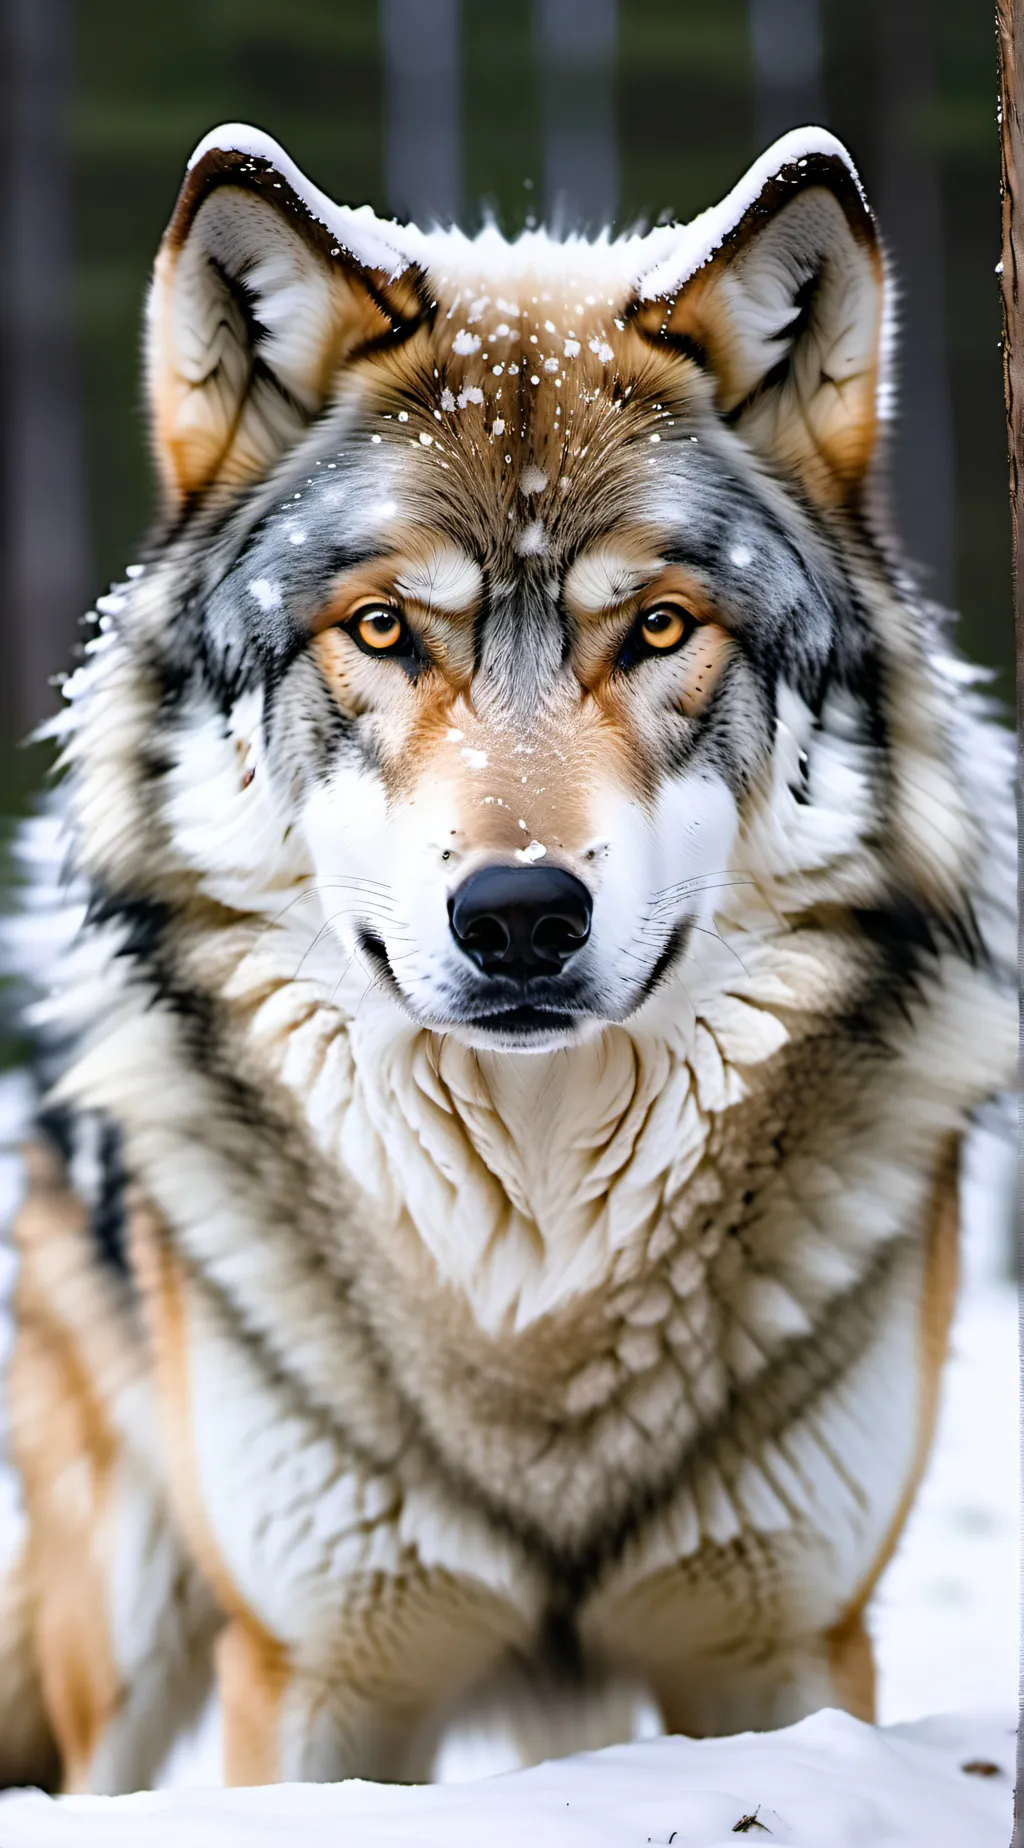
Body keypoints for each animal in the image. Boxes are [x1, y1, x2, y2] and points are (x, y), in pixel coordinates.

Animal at [0, 122, 1013, 1793]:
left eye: (659, 628)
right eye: (385, 630)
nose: (522, 913)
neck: (532, 1265)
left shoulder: (790, 1651)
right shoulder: (315, 1676)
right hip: (130, 1627)